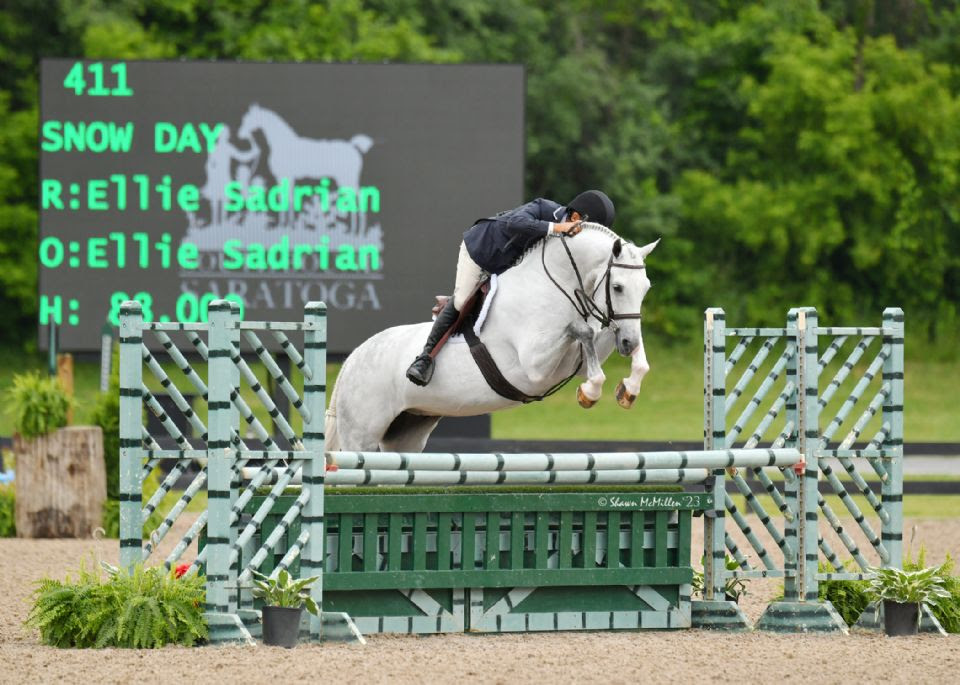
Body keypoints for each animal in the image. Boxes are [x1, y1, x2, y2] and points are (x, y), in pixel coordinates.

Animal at [326, 223, 656, 454]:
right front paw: (591, 391)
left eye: (646, 288)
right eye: (617, 287)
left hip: (406, 432)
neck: (553, 284)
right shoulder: (536, 366)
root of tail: (351, 360)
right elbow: (583, 331)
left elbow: (601, 340)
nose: (627, 344)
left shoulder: (572, 360)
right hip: (361, 436)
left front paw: (627, 388)